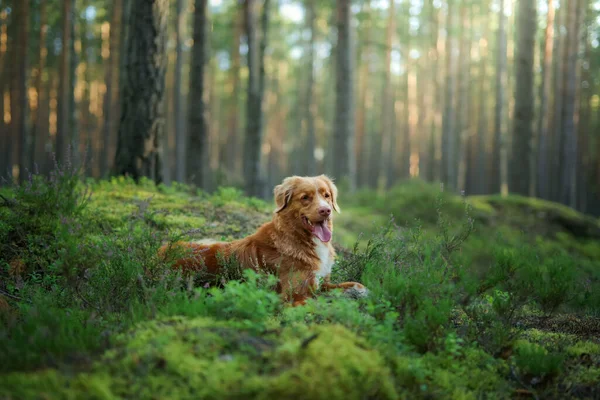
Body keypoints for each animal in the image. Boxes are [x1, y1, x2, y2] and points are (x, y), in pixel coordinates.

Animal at [159, 175, 366, 306]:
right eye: (305, 198)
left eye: (326, 195)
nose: (326, 210)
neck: (297, 237)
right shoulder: (294, 295)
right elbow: (318, 300)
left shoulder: (322, 282)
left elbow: (352, 284)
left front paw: (359, 290)